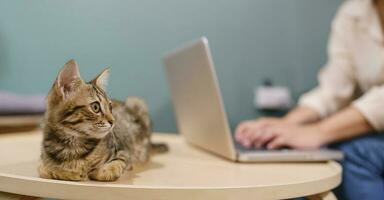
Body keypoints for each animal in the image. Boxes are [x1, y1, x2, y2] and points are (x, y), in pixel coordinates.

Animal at [38, 59, 168, 181]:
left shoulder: (124, 151)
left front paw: (97, 171)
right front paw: (70, 172)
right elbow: (45, 169)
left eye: (110, 107)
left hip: (137, 102)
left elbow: (115, 165)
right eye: (95, 107)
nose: (113, 121)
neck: (73, 145)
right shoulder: (42, 161)